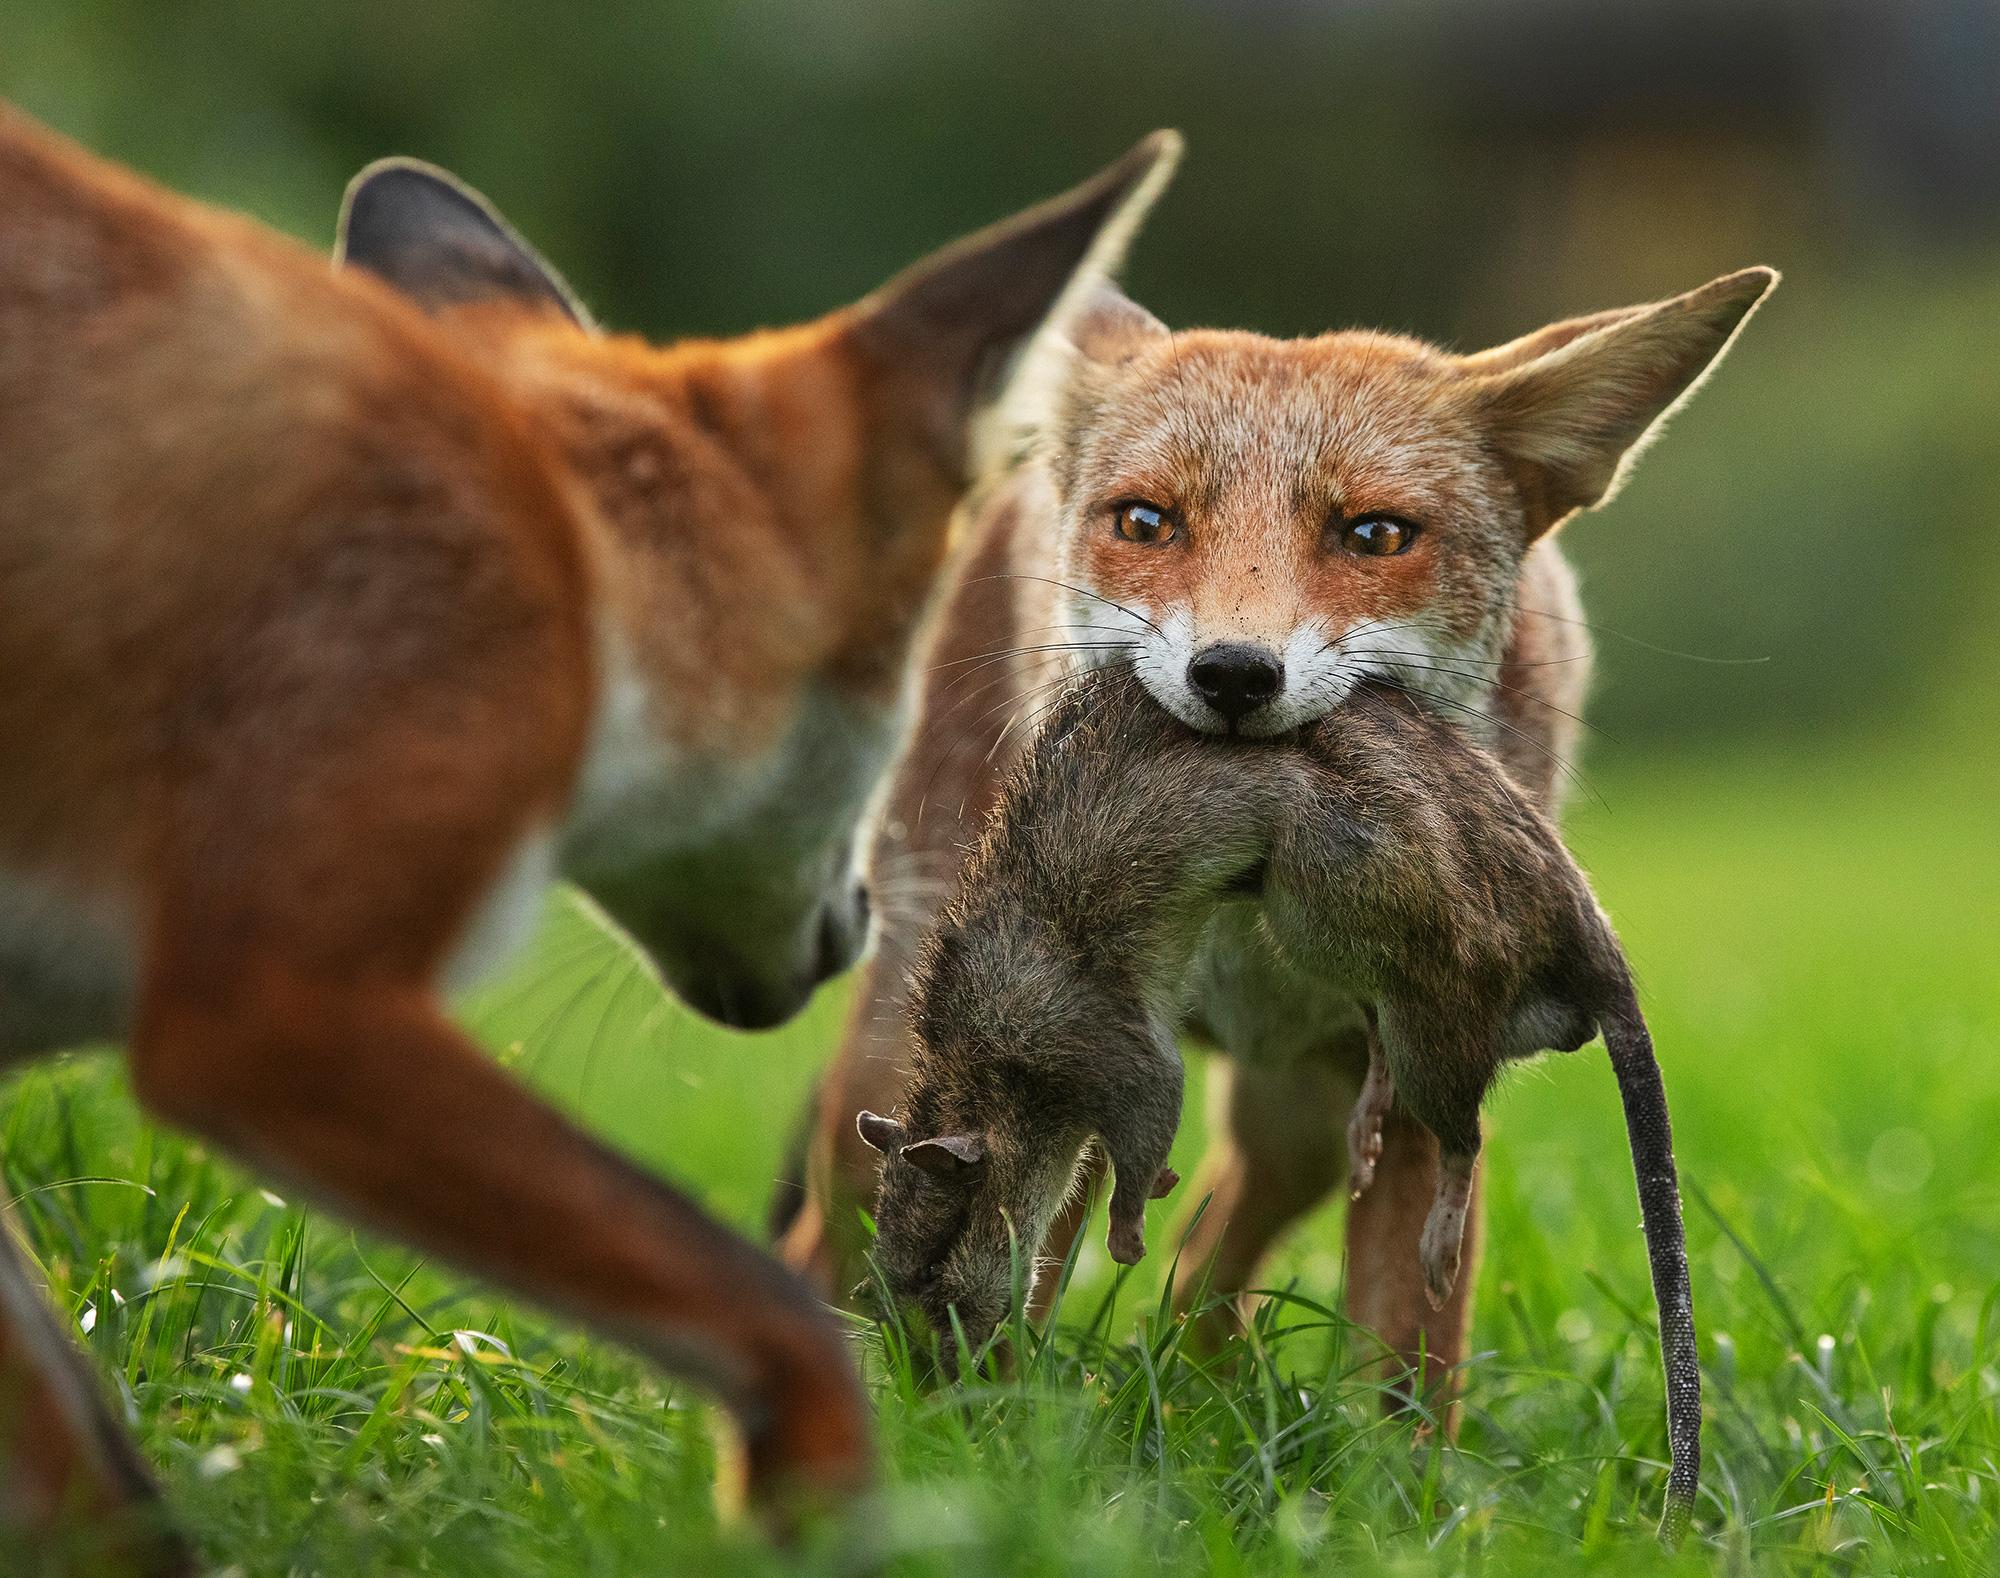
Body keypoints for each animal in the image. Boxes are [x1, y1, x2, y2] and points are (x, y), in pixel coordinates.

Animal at [0, 104, 1176, 1568]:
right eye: (893, 713)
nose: (858, 930)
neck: (581, 562)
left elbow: (106, 1492)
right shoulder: (273, 1008)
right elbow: (775, 1309)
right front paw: (832, 1508)